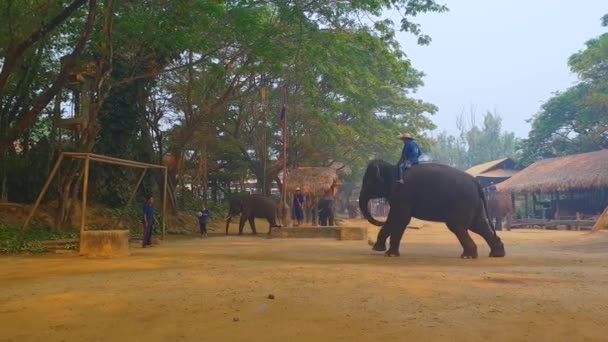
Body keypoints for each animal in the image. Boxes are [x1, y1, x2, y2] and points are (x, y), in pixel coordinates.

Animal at [358, 160, 506, 260]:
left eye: (368, 182)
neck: (393, 168)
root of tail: (476, 183)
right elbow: (393, 219)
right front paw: (377, 249)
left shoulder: (403, 194)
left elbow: (401, 219)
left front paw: (390, 254)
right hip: (473, 204)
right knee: (478, 225)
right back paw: (496, 254)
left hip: (463, 203)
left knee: (458, 226)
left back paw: (468, 256)